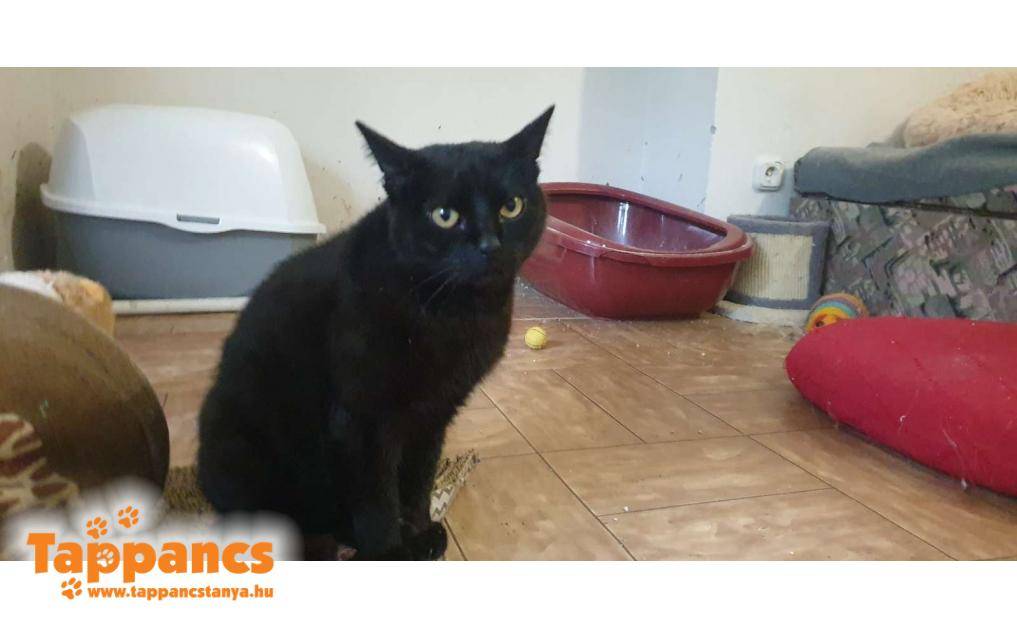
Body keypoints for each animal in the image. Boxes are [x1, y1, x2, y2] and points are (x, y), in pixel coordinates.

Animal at [197, 107, 554, 560]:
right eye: (444, 215)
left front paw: (418, 530)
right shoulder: (361, 421)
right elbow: (377, 499)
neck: (451, 313)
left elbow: (418, 481)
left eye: (512, 206)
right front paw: (392, 552)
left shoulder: (434, 413)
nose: (490, 245)